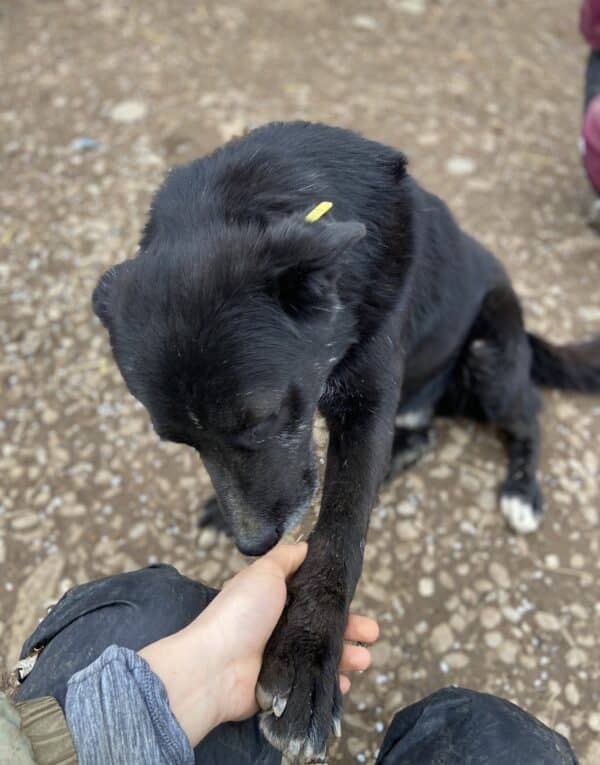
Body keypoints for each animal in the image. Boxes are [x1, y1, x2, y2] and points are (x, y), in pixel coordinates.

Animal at [94, 122, 600, 760]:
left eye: (259, 418)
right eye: (179, 442)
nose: (255, 545)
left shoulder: (369, 402)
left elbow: (340, 531)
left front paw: (309, 658)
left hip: (491, 358)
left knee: (529, 413)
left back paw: (522, 490)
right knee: (424, 433)